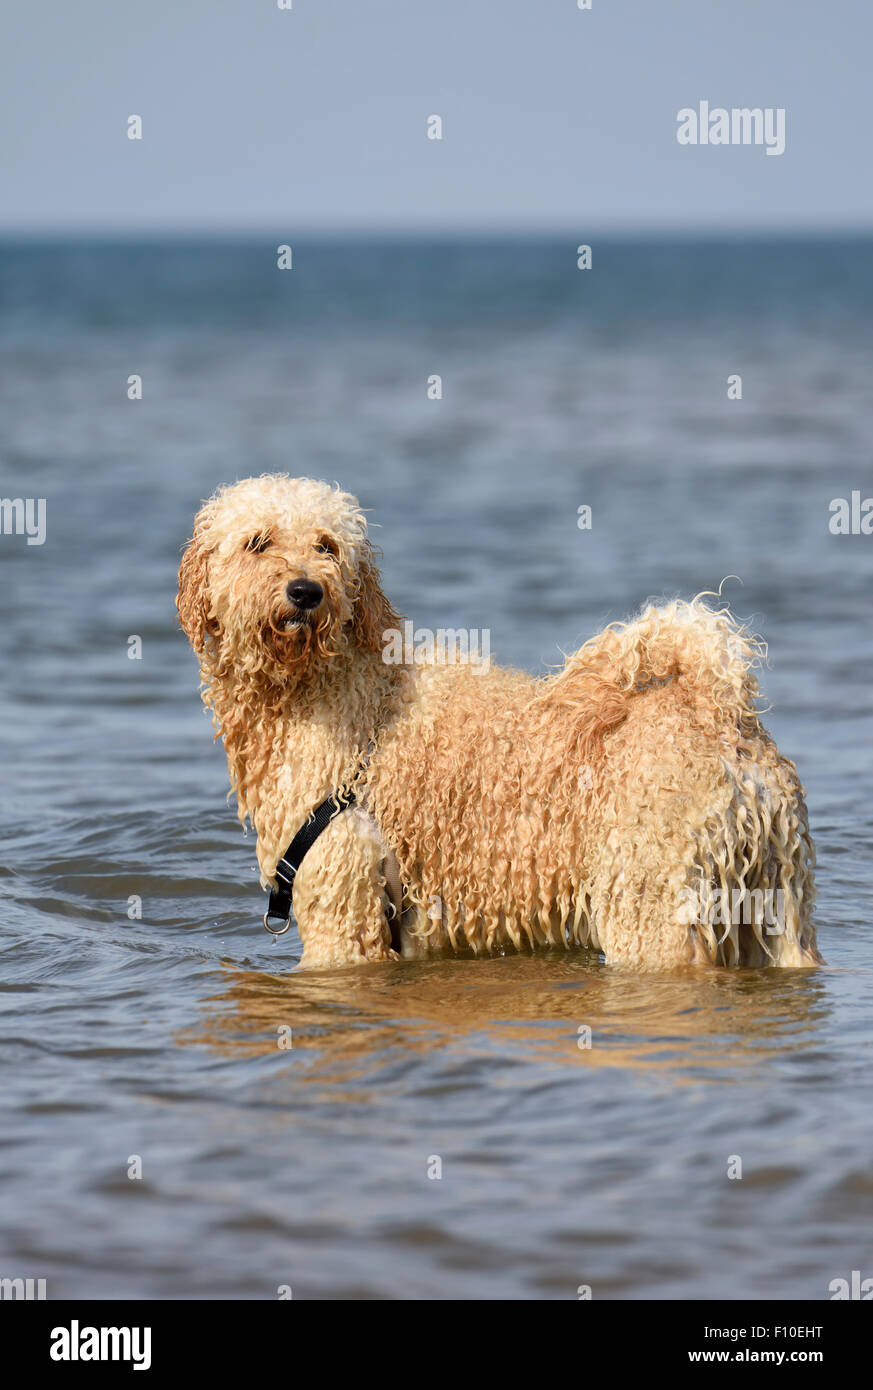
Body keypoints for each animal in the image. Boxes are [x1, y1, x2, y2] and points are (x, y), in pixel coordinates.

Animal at [175, 472, 817, 973]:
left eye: (327, 545)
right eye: (257, 543)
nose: (306, 591)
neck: (331, 690)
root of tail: (718, 707)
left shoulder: (341, 911)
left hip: (651, 914)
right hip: (779, 910)